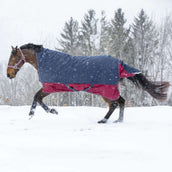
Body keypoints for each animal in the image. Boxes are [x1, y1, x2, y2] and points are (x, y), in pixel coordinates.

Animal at [6, 43, 169, 123]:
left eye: (13, 58)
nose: (8, 74)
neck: (44, 61)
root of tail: (120, 64)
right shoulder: (50, 87)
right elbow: (37, 98)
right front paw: (45, 112)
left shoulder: (49, 87)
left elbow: (36, 97)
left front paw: (38, 113)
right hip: (106, 91)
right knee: (118, 103)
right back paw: (114, 121)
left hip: (106, 90)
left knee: (118, 103)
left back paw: (106, 120)